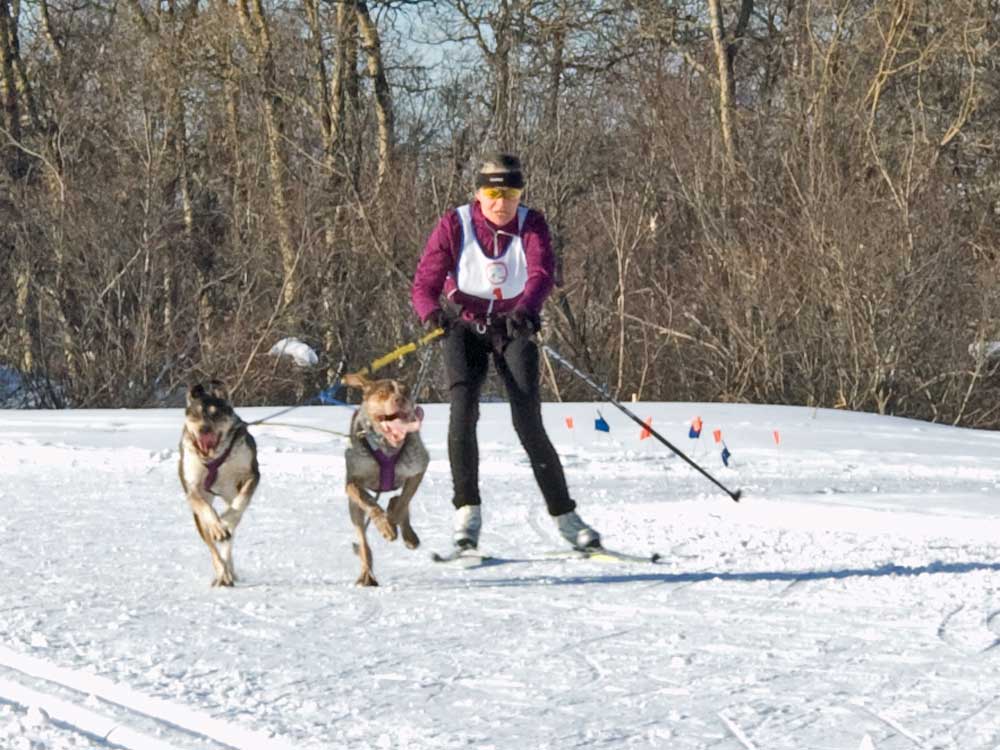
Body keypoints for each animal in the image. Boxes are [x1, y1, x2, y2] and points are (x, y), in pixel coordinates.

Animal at [179, 382, 260, 588]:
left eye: (216, 414)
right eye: (196, 414)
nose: (204, 429)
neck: (214, 458)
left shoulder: (251, 475)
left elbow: (239, 504)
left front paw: (225, 520)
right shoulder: (192, 487)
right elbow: (205, 509)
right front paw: (217, 526)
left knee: (228, 541)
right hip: (198, 520)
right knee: (213, 548)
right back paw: (223, 573)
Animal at [342, 374, 428, 592]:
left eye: (405, 391)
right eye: (382, 393)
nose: (399, 399)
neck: (388, 448)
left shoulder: (418, 468)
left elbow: (403, 502)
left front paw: (393, 521)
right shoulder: (352, 481)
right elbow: (369, 501)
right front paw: (385, 525)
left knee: (398, 501)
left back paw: (409, 535)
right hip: (354, 512)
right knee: (363, 543)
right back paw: (367, 575)